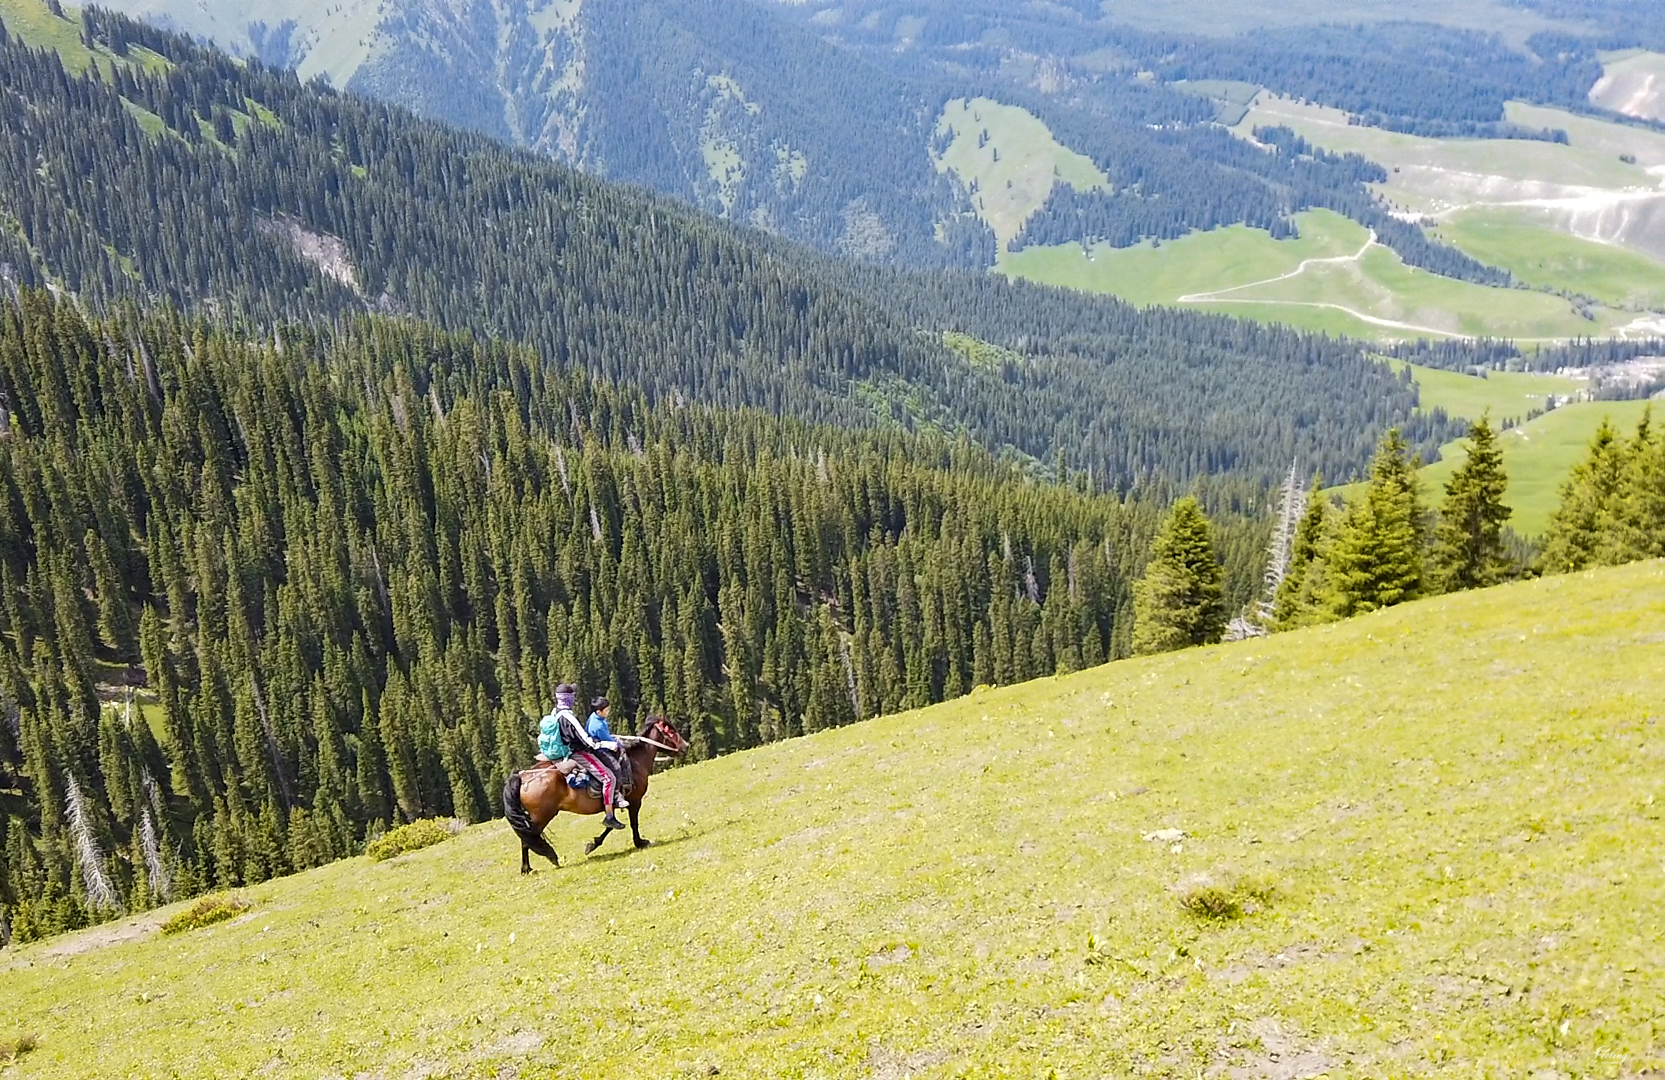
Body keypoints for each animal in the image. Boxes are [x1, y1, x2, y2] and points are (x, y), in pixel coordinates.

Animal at [496, 712, 685, 871]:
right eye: (671, 730)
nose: (686, 745)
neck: (635, 761)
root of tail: (522, 776)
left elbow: (610, 824)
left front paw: (593, 844)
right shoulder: (635, 800)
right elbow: (631, 823)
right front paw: (640, 842)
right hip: (541, 816)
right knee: (527, 839)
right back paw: (531, 866)